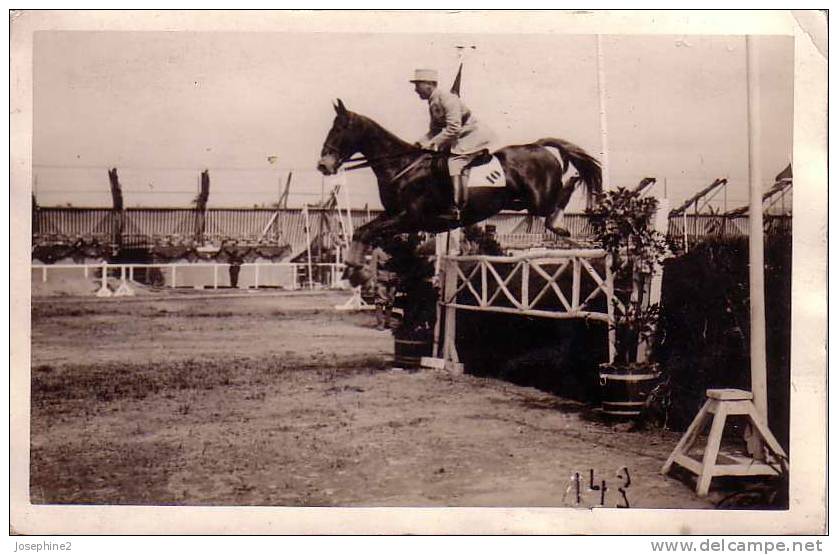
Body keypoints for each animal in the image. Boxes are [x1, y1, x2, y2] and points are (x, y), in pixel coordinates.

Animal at [316, 99, 604, 286]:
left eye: (339, 130)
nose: (323, 165)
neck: (402, 166)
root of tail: (537, 146)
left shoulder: (411, 218)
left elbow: (368, 231)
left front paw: (358, 271)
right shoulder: (394, 215)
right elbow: (362, 230)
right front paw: (354, 271)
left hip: (539, 199)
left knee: (563, 191)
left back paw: (559, 222)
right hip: (518, 201)